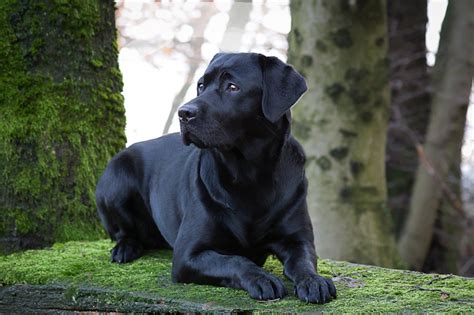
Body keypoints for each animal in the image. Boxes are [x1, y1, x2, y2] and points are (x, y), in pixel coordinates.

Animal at [94, 53, 336, 304]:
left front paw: (313, 281)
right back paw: (125, 248)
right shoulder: (188, 254)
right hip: (115, 181)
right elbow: (235, 260)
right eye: (201, 85)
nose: (184, 112)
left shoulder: (297, 239)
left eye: (232, 87)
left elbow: (303, 261)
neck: (249, 173)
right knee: (122, 231)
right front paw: (262, 279)